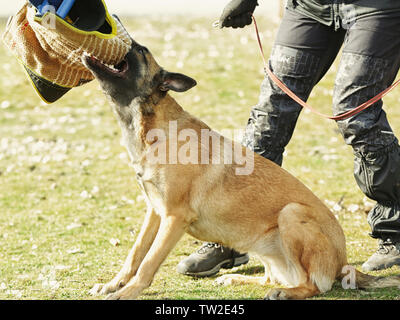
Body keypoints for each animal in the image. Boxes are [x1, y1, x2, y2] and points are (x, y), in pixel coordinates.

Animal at [83, 32, 400, 300]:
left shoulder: (173, 217)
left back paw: (287, 292)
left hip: (291, 213)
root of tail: (344, 265)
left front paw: (127, 292)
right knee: (272, 277)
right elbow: (135, 254)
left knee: (312, 285)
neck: (154, 131)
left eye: (141, 51)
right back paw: (239, 279)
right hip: (263, 243)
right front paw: (114, 284)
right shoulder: (155, 212)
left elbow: (148, 263)